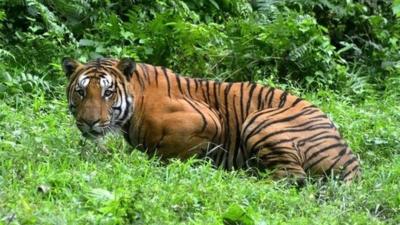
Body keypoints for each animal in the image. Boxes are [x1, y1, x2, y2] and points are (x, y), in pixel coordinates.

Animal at [63, 56, 362, 183]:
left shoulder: (207, 119)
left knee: (292, 177)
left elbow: (169, 153)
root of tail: (350, 158)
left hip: (261, 120)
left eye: (108, 92)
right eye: (81, 91)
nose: (89, 122)